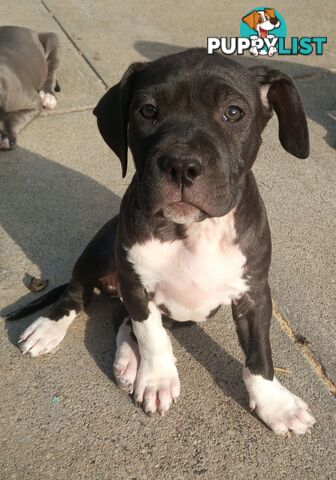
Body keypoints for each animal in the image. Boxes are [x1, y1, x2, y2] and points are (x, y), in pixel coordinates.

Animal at [8, 48, 318, 436]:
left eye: (234, 112)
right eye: (147, 111)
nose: (182, 166)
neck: (191, 231)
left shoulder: (254, 292)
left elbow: (259, 353)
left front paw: (275, 403)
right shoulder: (136, 285)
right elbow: (151, 335)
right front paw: (157, 380)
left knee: (120, 316)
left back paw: (128, 360)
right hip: (102, 246)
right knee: (80, 292)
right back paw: (51, 329)